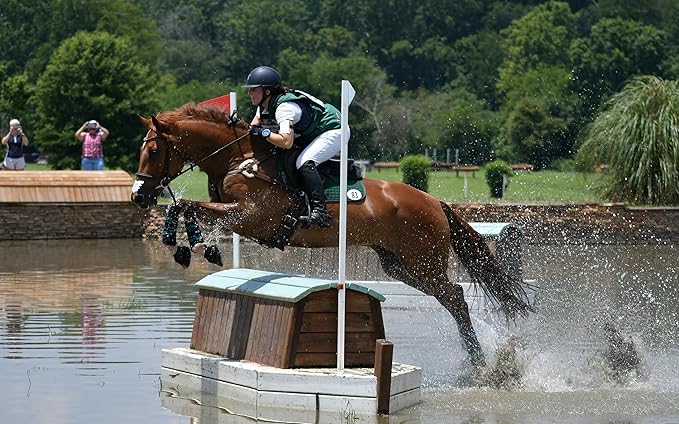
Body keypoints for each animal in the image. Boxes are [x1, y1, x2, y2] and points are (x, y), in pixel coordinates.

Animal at [131, 103, 532, 366]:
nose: (138, 196)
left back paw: (479, 362)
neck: (237, 159)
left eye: (152, 150)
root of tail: (434, 200)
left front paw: (190, 246)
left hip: (424, 262)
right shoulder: (237, 215)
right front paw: (193, 247)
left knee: (456, 298)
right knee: (450, 297)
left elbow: (189, 206)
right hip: (400, 266)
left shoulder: (252, 217)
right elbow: (187, 208)